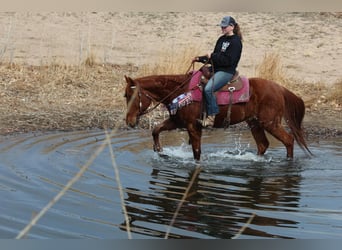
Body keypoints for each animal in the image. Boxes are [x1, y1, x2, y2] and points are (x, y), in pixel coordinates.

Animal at [124, 72, 312, 160]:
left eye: (130, 95)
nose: (129, 121)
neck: (181, 91)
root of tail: (279, 88)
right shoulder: (177, 121)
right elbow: (155, 130)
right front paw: (159, 150)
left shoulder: (193, 126)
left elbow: (197, 152)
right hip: (255, 123)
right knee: (263, 145)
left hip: (270, 123)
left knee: (288, 140)